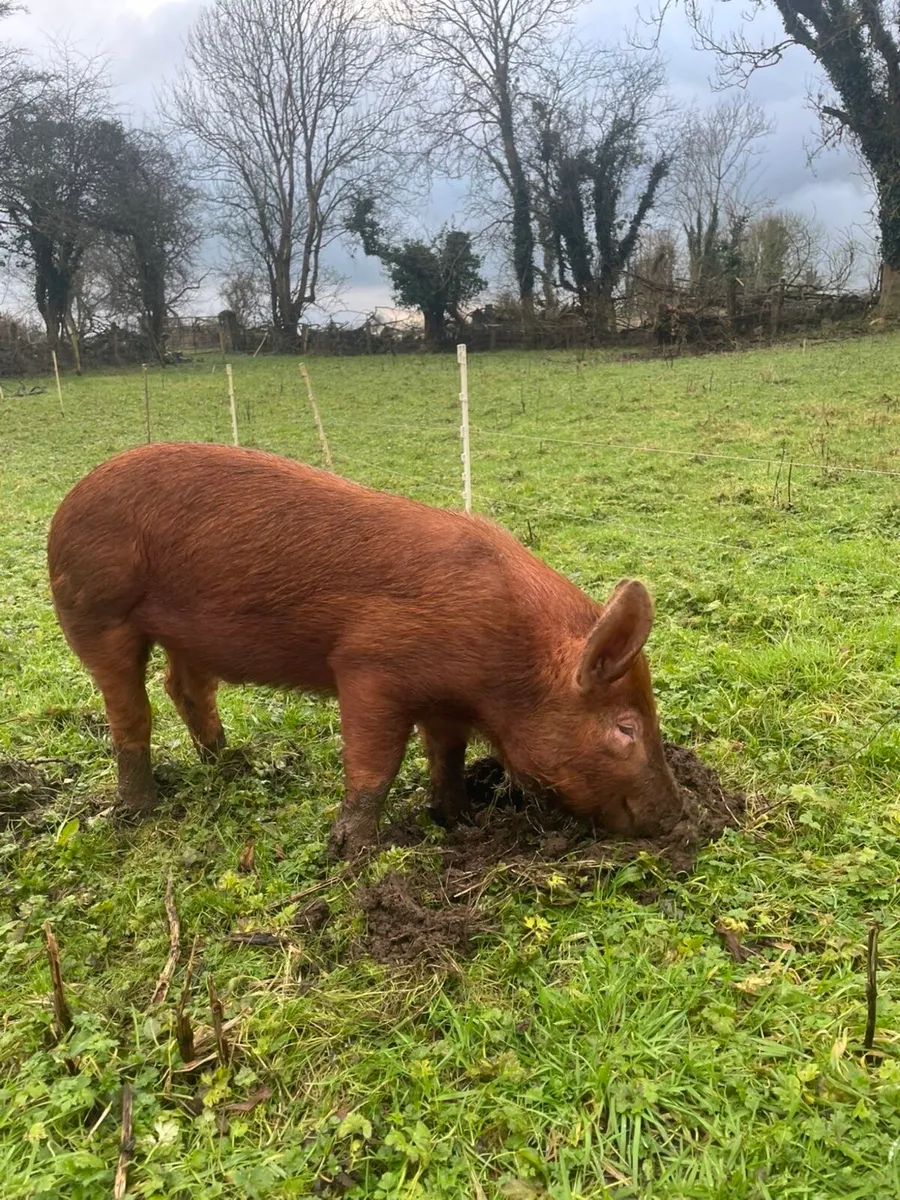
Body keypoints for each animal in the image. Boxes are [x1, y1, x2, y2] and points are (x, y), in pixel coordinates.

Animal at [47, 442, 684, 857]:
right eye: (626, 727)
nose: (677, 817)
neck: (506, 666)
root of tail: (72, 495)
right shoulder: (370, 670)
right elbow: (375, 766)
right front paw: (350, 852)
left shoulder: (445, 703)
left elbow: (447, 758)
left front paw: (461, 823)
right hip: (96, 611)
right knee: (131, 711)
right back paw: (139, 809)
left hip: (186, 635)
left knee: (185, 688)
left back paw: (229, 763)